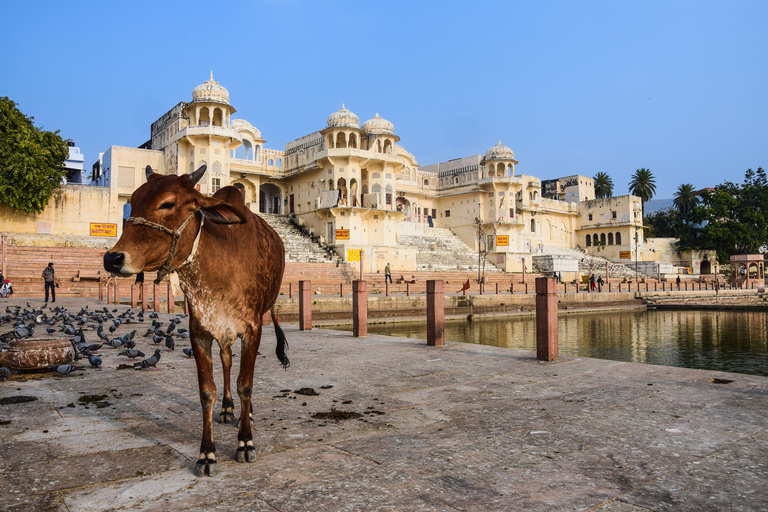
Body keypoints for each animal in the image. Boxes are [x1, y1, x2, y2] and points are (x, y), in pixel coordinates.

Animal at [103, 165, 290, 476]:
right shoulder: (199, 331)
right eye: (134, 200)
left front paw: (245, 442)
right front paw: (207, 454)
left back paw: (245, 412)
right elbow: (206, 391)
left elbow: (246, 385)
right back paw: (227, 409)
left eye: (168, 203)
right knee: (226, 362)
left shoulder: (252, 329)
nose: (113, 258)